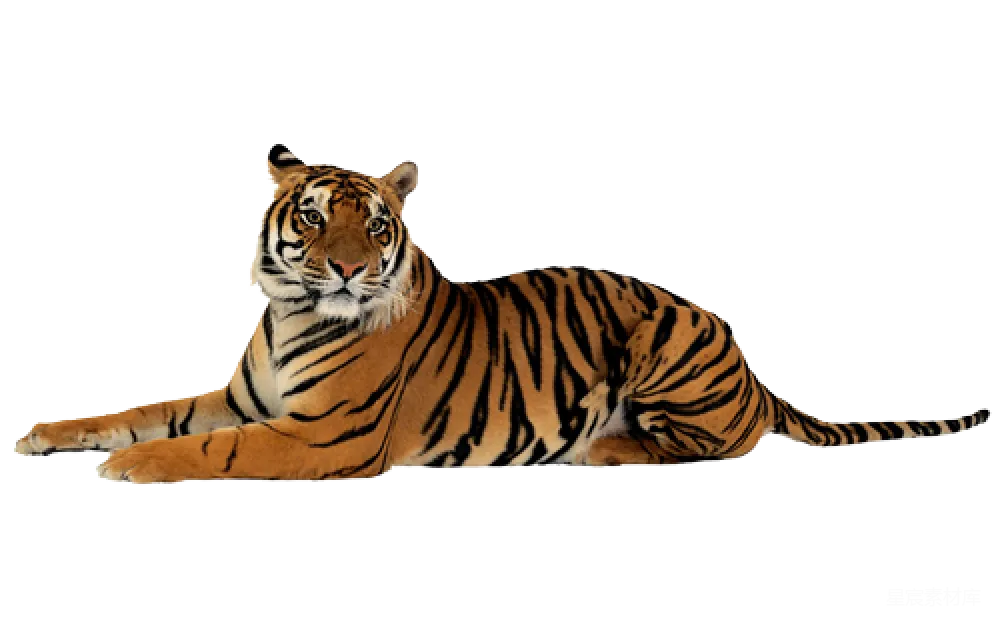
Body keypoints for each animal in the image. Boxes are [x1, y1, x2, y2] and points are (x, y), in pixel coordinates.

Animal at [14, 146, 991, 482]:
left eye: (375, 224)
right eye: (313, 217)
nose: (349, 268)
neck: (290, 314)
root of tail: (751, 366)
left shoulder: (320, 435)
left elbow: (205, 447)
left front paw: (131, 467)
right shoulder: (242, 397)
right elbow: (147, 410)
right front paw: (48, 433)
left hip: (663, 338)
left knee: (719, 442)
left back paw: (604, 447)